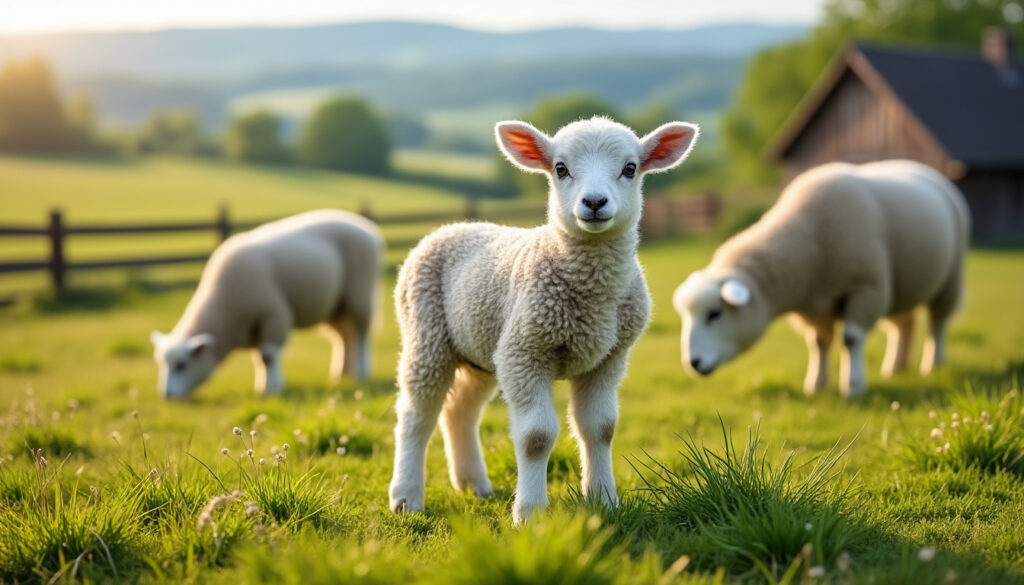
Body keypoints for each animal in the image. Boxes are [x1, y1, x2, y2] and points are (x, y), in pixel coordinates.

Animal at [150, 209, 383, 399]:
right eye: (161, 364)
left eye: (182, 365)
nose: (167, 396)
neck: (224, 309)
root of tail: (368, 228)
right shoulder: (255, 329)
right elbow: (259, 359)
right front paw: (262, 386)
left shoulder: (273, 315)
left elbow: (268, 357)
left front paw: (273, 389)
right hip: (334, 307)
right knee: (344, 338)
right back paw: (341, 374)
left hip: (360, 294)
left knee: (361, 335)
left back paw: (361, 372)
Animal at [388, 116, 699, 524]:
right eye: (560, 168)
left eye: (630, 168)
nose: (594, 202)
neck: (590, 297)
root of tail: (451, 226)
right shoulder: (525, 353)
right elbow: (536, 436)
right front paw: (530, 513)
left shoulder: (608, 358)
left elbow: (600, 429)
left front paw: (604, 501)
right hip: (427, 334)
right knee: (416, 414)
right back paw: (406, 496)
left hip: (482, 349)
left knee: (460, 411)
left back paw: (474, 484)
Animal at [673, 160, 969, 397]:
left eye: (715, 314)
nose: (693, 363)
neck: (809, 240)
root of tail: (925, 169)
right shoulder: (814, 308)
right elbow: (819, 343)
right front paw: (817, 384)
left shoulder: (867, 289)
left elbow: (851, 339)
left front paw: (853, 386)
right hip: (902, 288)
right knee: (903, 325)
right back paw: (896, 367)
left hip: (949, 281)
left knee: (938, 323)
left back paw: (933, 364)